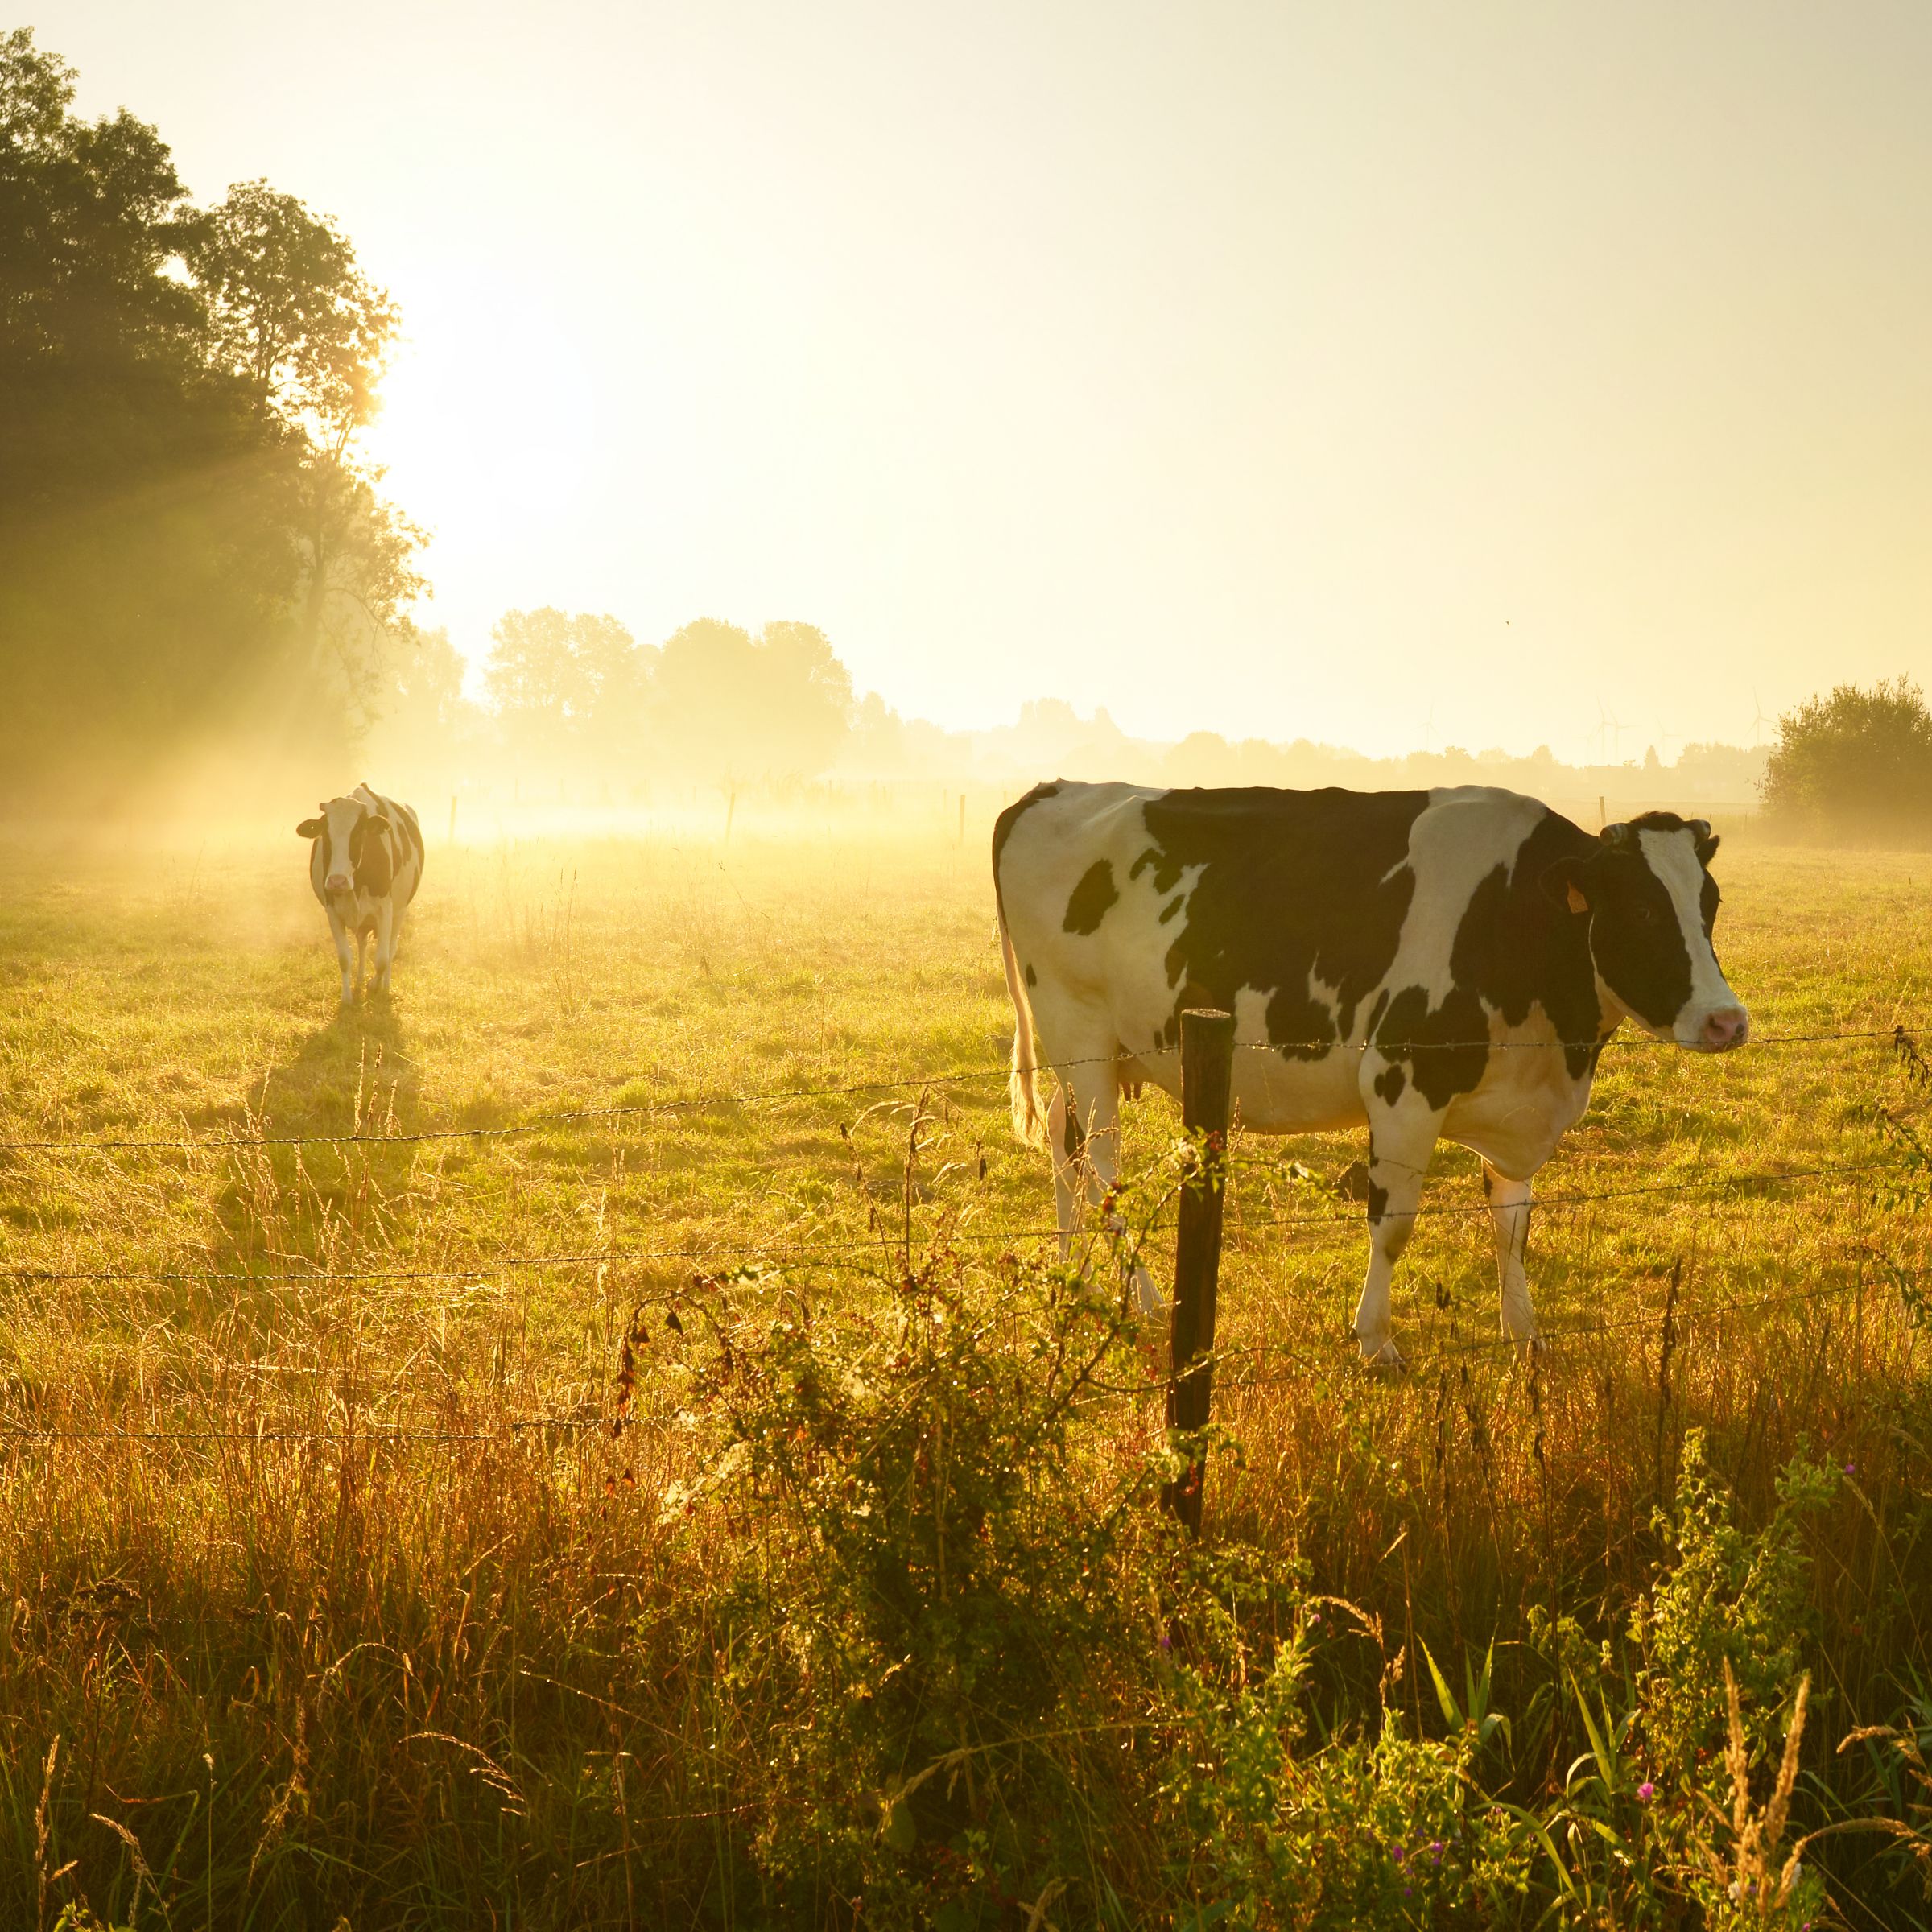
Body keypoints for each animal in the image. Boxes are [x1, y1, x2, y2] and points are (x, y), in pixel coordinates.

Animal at [293, 784, 423, 1012]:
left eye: (357, 835)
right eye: (325, 836)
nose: (337, 881)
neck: (358, 881)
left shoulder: (385, 909)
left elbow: (382, 959)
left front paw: (375, 985)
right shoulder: (333, 911)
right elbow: (345, 958)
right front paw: (347, 998)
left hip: (400, 911)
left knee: (391, 948)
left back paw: (384, 986)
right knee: (362, 944)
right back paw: (361, 977)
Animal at [997, 780, 1754, 1360]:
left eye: (1711, 905)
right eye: (1645, 909)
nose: (1728, 1021)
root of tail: (1051, 790)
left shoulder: (1519, 1103)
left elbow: (1512, 1224)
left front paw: (1525, 1334)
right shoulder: (1403, 1082)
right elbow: (1393, 1225)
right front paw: (1375, 1340)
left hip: (1086, 1054)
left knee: (1065, 1151)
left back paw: (1076, 1277)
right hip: (1081, 1032)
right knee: (1101, 1169)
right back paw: (1149, 1297)